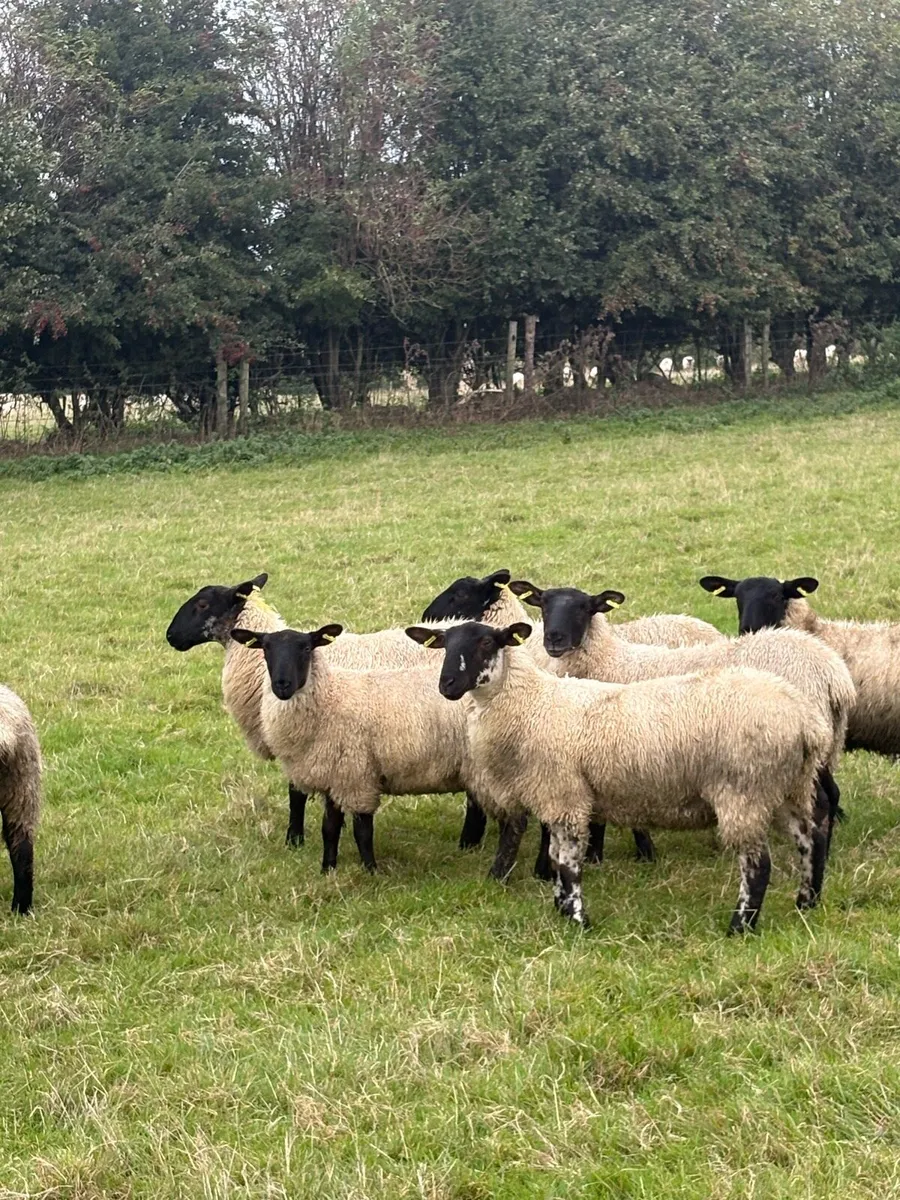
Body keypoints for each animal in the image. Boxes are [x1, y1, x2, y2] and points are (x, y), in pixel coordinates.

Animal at [228, 625, 527, 878]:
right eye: (266, 648)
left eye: (306, 648)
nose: (282, 684)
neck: (330, 697)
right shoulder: (336, 776)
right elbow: (330, 829)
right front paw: (328, 869)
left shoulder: (357, 776)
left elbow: (362, 831)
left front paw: (371, 871)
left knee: (513, 820)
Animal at [405, 621, 832, 932]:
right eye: (445, 645)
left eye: (485, 643)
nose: (447, 685)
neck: (531, 703)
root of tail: (806, 721)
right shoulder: (558, 798)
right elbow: (557, 858)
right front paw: (561, 909)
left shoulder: (564, 797)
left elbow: (567, 863)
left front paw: (578, 920)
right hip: (790, 786)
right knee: (810, 837)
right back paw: (806, 902)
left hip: (745, 790)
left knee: (758, 866)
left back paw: (740, 927)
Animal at [509, 578, 856, 859]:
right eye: (543, 604)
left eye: (584, 608)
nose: (554, 639)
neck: (610, 659)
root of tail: (833, 674)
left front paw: (615, 853)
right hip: (821, 743)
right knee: (829, 796)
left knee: (822, 801)